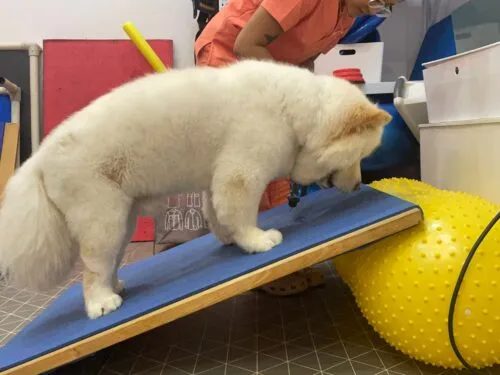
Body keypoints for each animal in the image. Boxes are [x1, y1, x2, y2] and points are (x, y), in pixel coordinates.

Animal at [0, 60, 392, 318]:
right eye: (360, 156)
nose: (359, 184)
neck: (296, 110)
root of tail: (39, 158)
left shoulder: (217, 179)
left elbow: (218, 214)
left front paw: (231, 240)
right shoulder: (242, 171)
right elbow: (240, 212)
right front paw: (257, 241)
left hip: (122, 220)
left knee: (108, 263)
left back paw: (117, 286)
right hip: (102, 219)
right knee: (93, 270)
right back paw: (101, 302)